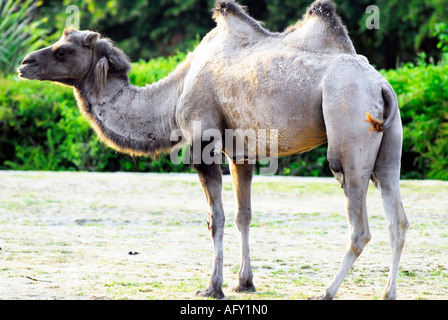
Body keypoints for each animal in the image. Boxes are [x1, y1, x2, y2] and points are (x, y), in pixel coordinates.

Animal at [18, 0, 410, 300]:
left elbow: (215, 218)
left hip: (348, 133)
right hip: (390, 145)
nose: (24, 64)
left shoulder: (201, 142)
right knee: (398, 218)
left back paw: (326, 292)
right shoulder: (241, 152)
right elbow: (243, 215)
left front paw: (212, 286)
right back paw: (388, 293)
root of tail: (381, 84)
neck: (175, 93)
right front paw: (244, 282)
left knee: (360, 225)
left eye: (62, 50)